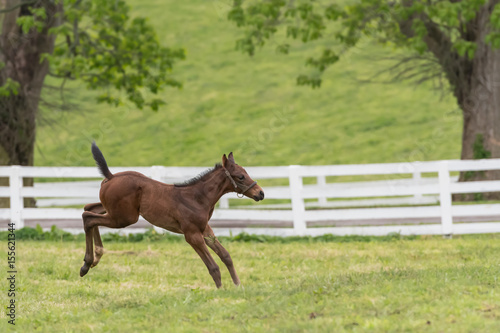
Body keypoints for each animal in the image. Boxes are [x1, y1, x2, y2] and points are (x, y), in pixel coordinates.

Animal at [80, 141, 264, 286]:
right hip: (124, 218)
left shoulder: (205, 229)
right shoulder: (192, 234)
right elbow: (213, 266)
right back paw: (87, 264)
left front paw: (238, 286)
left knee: (88, 208)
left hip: (113, 211)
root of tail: (110, 176)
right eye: (240, 176)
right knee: (88, 218)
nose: (260, 193)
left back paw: (95, 258)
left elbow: (226, 256)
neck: (197, 197)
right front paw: (221, 291)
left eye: (246, 173)